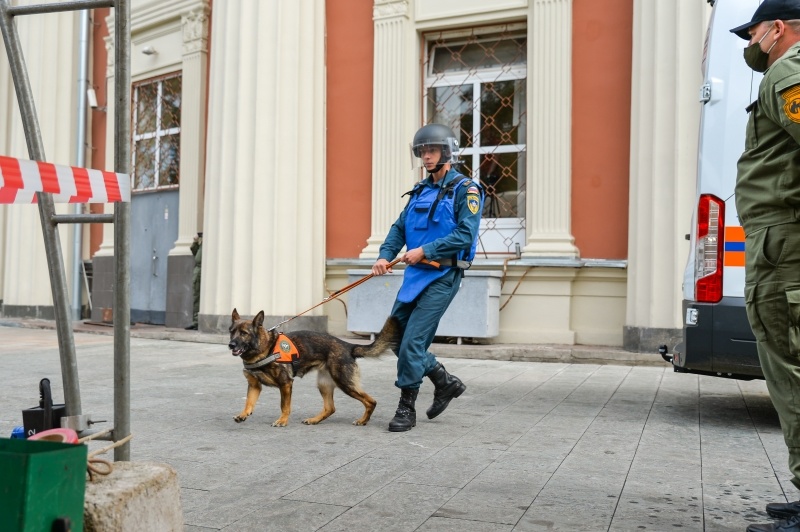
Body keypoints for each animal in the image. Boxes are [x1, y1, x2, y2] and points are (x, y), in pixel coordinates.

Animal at [228, 308, 400, 428]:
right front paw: (243, 415)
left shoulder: (285, 384)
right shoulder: (254, 385)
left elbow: (284, 406)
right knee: (330, 408)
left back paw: (363, 421)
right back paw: (314, 420)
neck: (264, 350)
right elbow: (249, 403)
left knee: (371, 401)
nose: (231, 345)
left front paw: (282, 421)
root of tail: (348, 345)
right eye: (232, 332)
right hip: (324, 384)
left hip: (345, 383)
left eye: (244, 333)